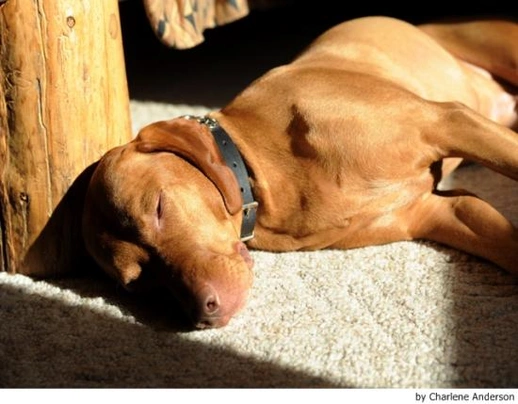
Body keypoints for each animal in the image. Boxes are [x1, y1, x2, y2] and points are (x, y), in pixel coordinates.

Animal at [82, 17, 518, 330]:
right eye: (138, 282)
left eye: (159, 208)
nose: (205, 315)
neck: (264, 173)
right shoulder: (438, 212)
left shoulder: (448, 122)